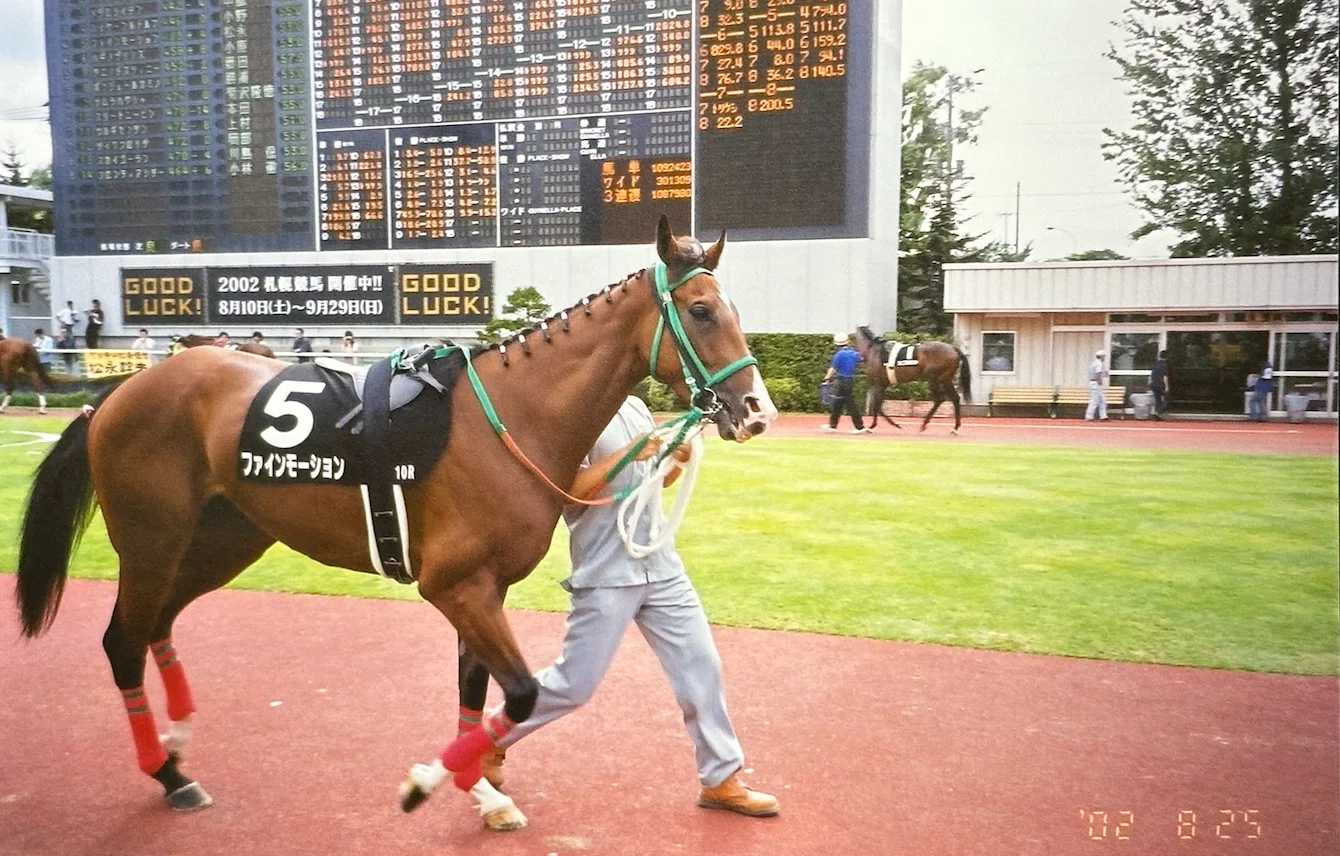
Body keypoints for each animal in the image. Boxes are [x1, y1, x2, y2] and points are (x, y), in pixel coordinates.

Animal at [15, 216, 776, 824]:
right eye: (702, 310)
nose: (758, 410)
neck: (510, 415)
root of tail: (115, 394)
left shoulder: (484, 588)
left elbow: (477, 691)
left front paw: (480, 789)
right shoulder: (454, 586)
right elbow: (522, 693)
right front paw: (427, 783)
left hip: (224, 538)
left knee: (158, 626)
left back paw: (177, 741)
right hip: (152, 540)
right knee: (122, 641)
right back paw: (169, 773)